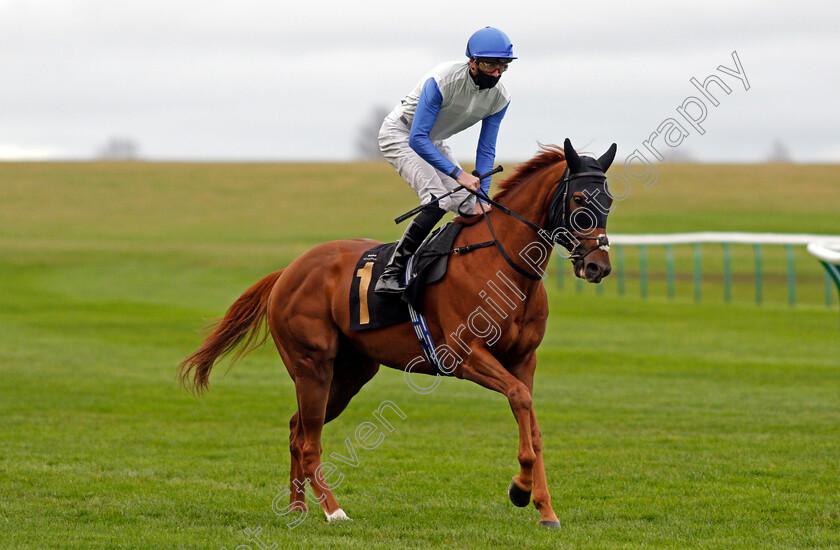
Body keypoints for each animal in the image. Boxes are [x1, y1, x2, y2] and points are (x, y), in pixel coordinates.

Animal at [180, 138, 616, 532]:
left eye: (609, 200)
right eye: (579, 199)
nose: (598, 266)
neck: (503, 262)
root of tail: (288, 270)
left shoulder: (524, 360)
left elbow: (532, 423)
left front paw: (543, 508)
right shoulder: (463, 355)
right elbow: (521, 400)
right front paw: (521, 490)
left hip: (351, 373)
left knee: (295, 428)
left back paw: (297, 508)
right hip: (312, 366)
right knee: (307, 441)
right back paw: (333, 511)